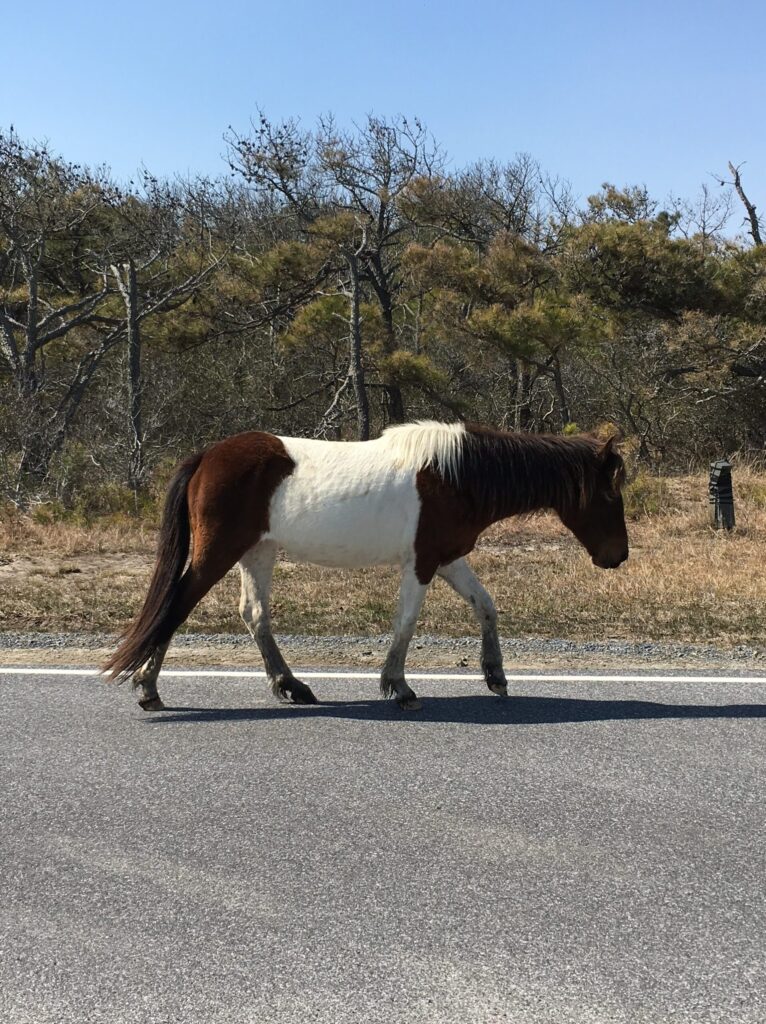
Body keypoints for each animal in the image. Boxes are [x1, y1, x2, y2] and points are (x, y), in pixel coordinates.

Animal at [101, 419, 626, 708]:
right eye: (608, 493)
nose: (617, 556)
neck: (457, 475)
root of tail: (208, 454)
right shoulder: (422, 562)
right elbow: (406, 623)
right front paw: (399, 686)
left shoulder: (449, 558)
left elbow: (486, 606)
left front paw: (495, 674)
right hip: (219, 553)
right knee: (177, 607)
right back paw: (148, 688)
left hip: (258, 552)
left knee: (254, 615)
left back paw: (291, 686)